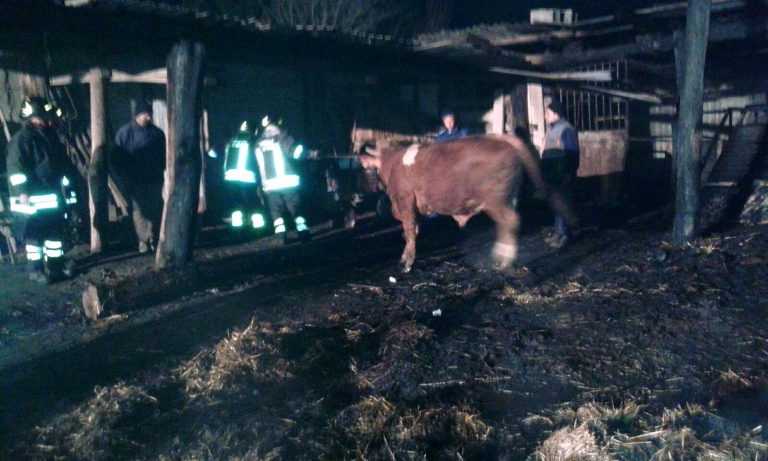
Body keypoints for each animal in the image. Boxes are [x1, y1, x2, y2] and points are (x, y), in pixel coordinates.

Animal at [360, 136, 576, 274]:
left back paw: (503, 260)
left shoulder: (405, 202)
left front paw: (407, 263)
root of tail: (504, 140)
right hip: (508, 198)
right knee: (507, 224)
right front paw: (405, 257)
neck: (393, 162)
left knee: (510, 221)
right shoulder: (414, 208)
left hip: (495, 200)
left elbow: (409, 231)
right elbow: (411, 233)